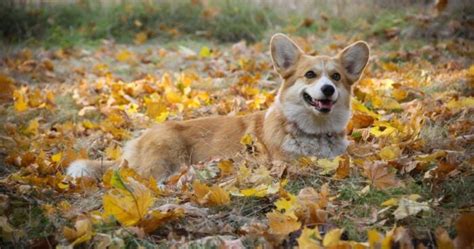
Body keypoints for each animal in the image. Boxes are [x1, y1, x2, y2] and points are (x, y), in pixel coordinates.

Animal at [67, 33, 370, 181]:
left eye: (336, 77)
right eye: (310, 75)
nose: (328, 89)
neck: (313, 131)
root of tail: (136, 143)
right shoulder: (286, 162)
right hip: (166, 159)